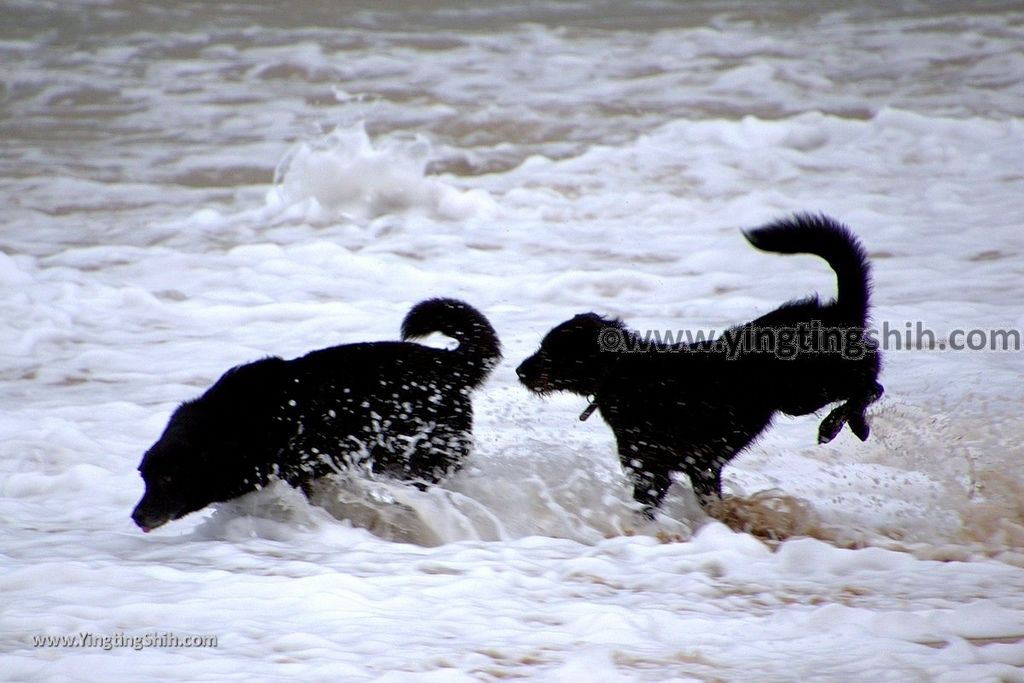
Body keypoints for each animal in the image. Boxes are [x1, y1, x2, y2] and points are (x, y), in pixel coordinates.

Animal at [132, 296, 499, 532]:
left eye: (167, 479)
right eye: (144, 477)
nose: (137, 515)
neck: (234, 423)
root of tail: (449, 363)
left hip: (419, 459)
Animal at [516, 216, 884, 516]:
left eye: (552, 350)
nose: (519, 371)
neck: (623, 374)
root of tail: (839, 311)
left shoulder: (652, 471)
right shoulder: (701, 471)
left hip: (804, 392)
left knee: (870, 383)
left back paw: (835, 425)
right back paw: (854, 423)